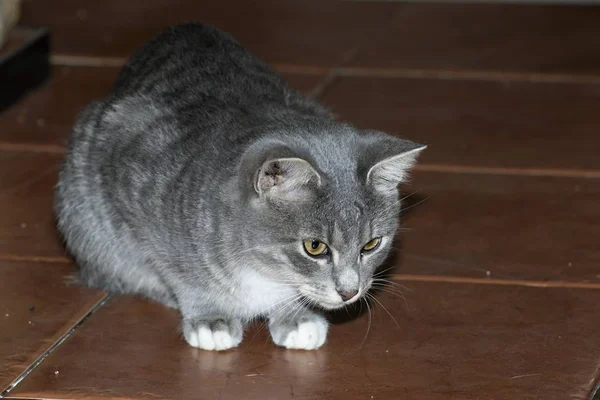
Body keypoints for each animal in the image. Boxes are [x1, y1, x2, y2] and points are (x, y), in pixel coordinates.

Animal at [54, 23, 424, 352]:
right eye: (315, 247)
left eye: (372, 244)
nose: (350, 292)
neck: (259, 268)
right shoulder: (138, 196)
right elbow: (180, 270)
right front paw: (209, 318)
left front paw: (294, 316)